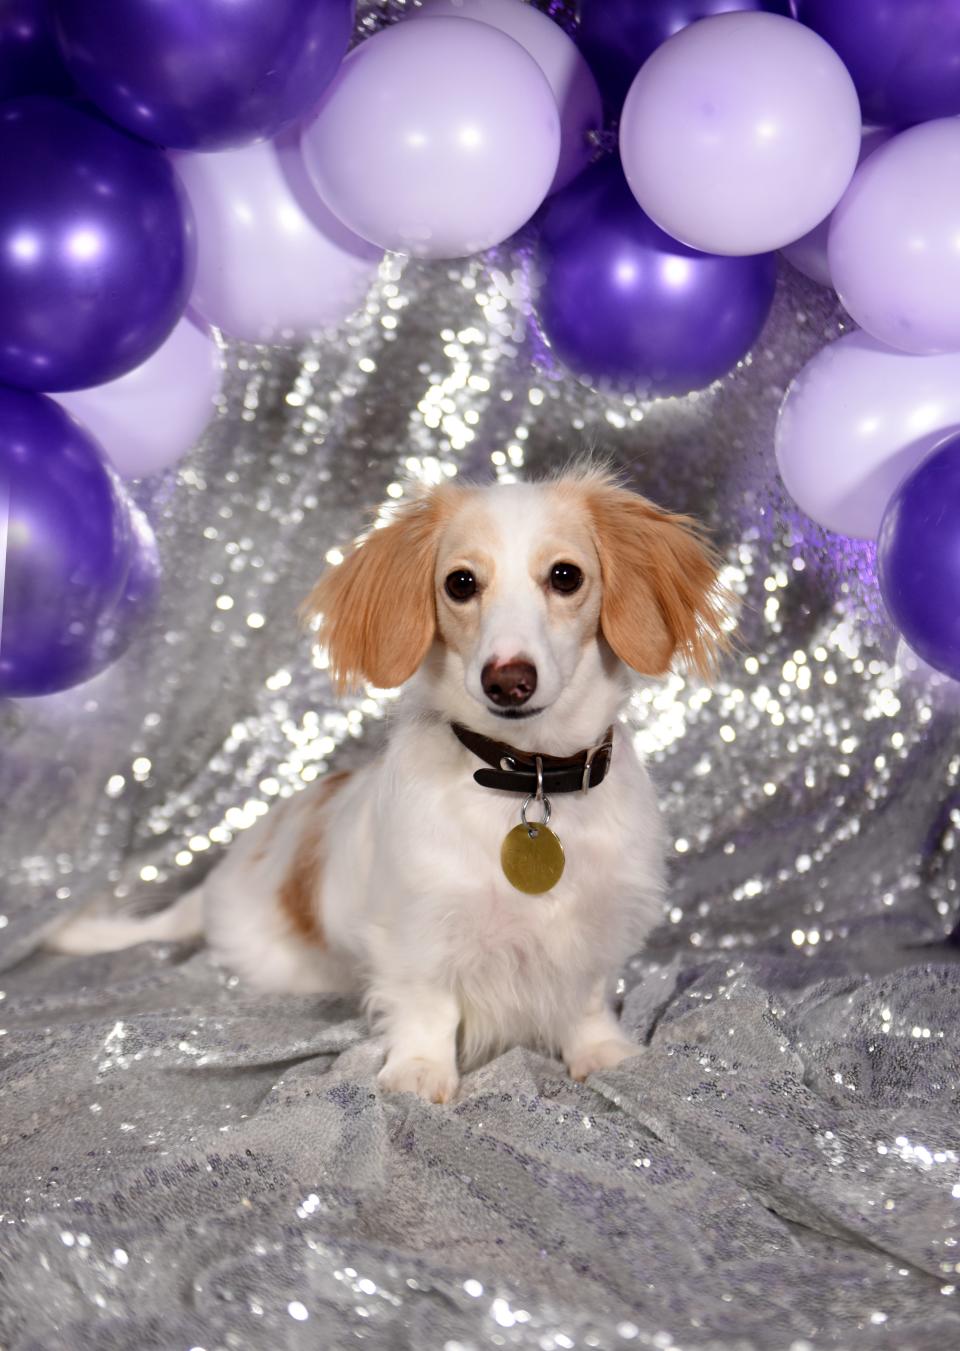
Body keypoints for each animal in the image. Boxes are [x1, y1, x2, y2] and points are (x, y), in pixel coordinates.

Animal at [48, 470, 723, 1102]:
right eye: (460, 583)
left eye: (565, 576)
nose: (508, 680)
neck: (528, 781)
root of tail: (223, 876)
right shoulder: (418, 929)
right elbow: (429, 1005)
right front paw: (420, 1071)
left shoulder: (596, 924)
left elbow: (585, 997)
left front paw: (602, 1052)